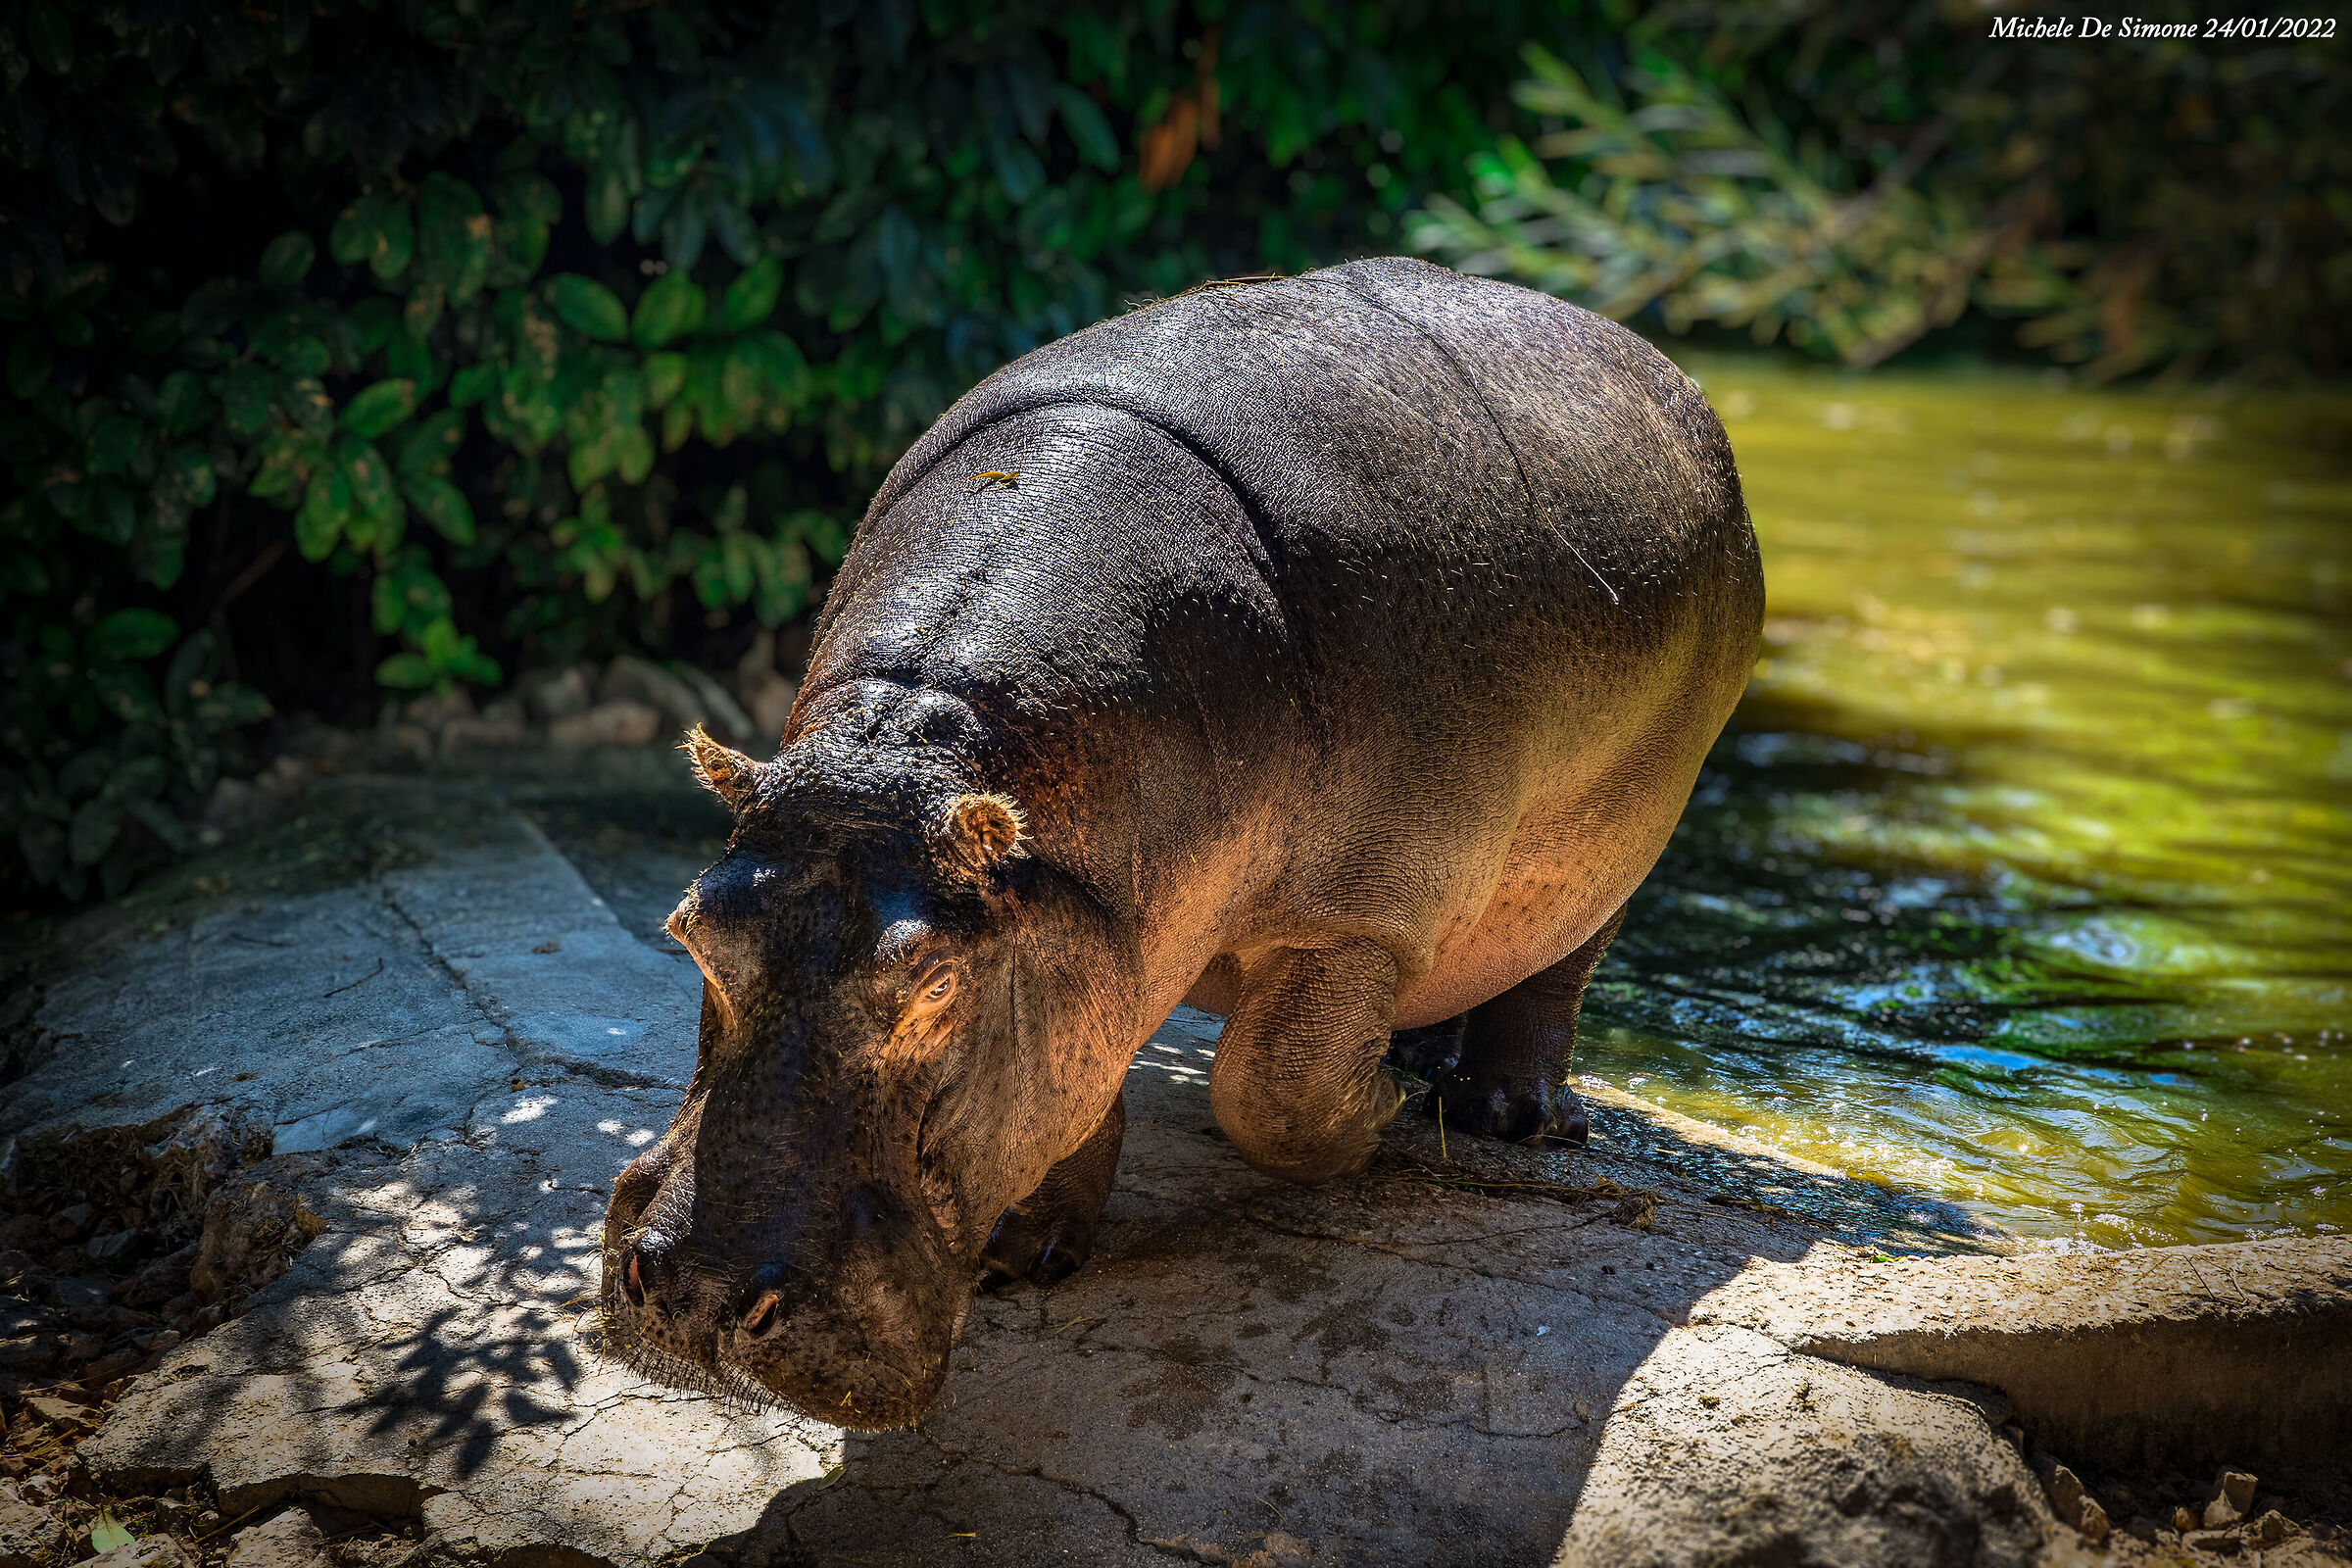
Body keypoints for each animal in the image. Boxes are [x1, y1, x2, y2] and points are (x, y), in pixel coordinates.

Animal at [599, 256, 1762, 1428]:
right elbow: (1079, 1083)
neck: (928, 745)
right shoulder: (1099, 925)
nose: (700, 1293)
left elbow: (1272, 1090)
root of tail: (1661, 367)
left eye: (933, 984)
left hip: (1623, 832)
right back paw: (1421, 1059)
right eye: (692, 929)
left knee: (1557, 966)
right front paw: (1024, 1253)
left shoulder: (1357, 920)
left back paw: (1501, 1114)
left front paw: (1375, 1114)